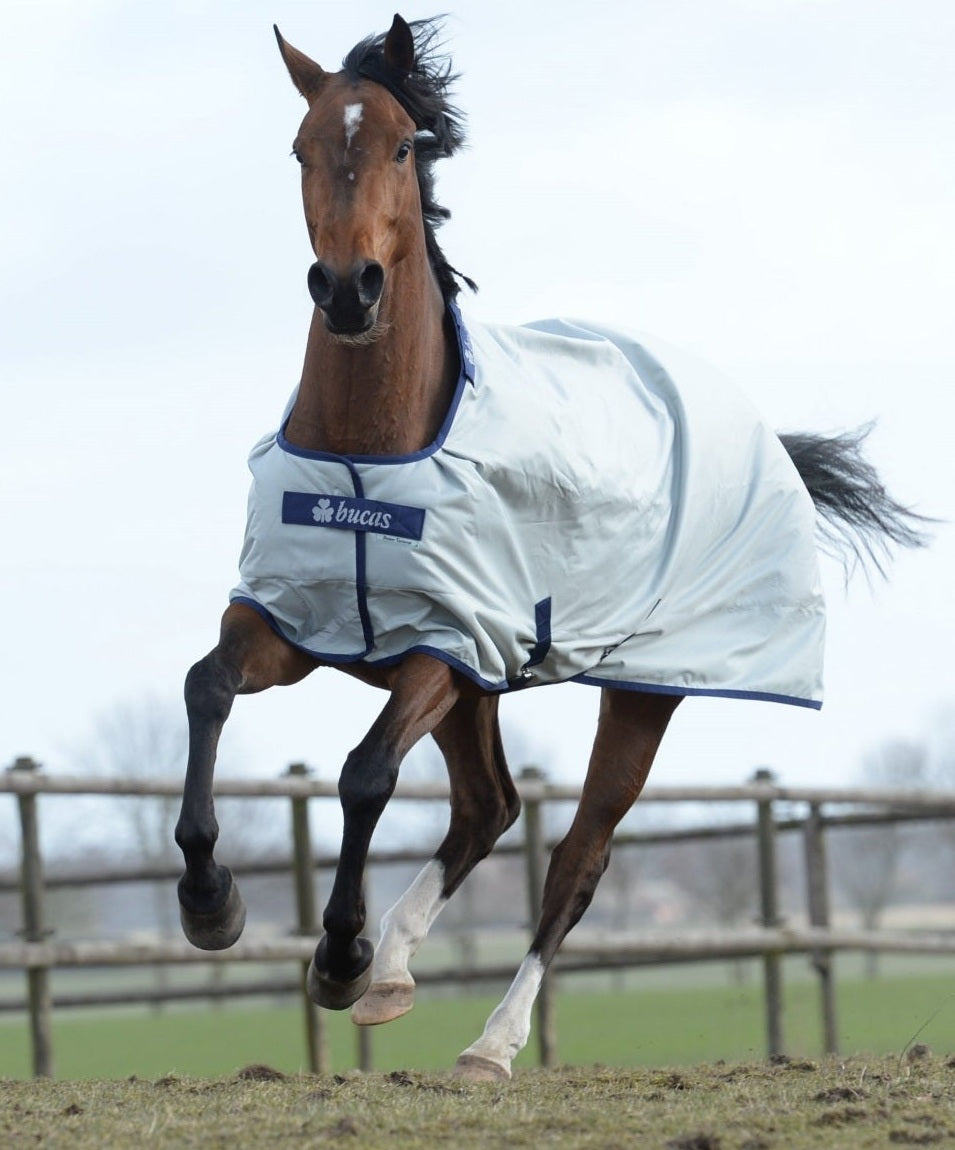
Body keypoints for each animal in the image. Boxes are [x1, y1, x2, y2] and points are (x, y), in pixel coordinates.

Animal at [174, 15, 928, 1081]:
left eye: (401, 146)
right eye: (299, 148)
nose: (350, 291)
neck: (373, 452)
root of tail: (763, 436)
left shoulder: (444, 650)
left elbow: (365, 774)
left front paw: (340, 956)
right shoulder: (296, 621)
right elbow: (206, 687)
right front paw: (213, 904)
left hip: (640, 692)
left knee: (575, 855)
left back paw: (488, 1042)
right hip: (485, 690)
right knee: (488, 806)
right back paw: (398, 972)